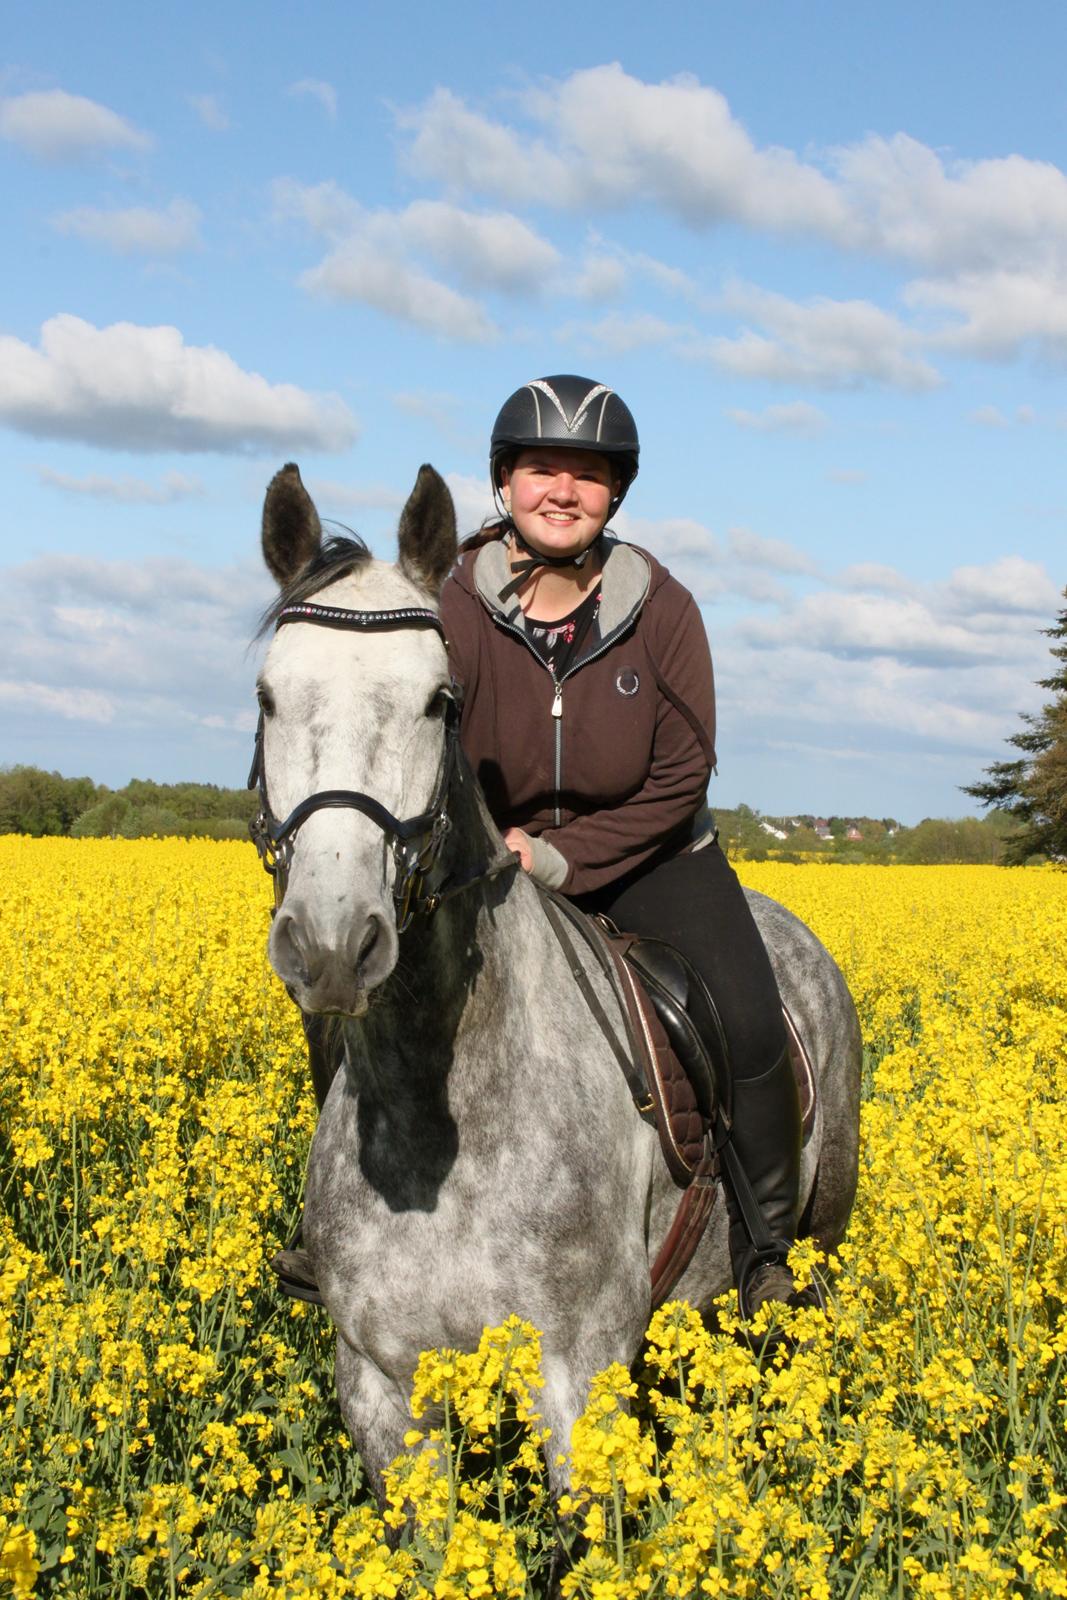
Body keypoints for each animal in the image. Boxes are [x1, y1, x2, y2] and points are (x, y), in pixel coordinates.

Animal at [254, 460, 863, 1497]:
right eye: (266, 697)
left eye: (439, 701)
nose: (333, 942)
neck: (438, 1111)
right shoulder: (382, 1388)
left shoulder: (578, 1379)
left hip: (815, 1243)